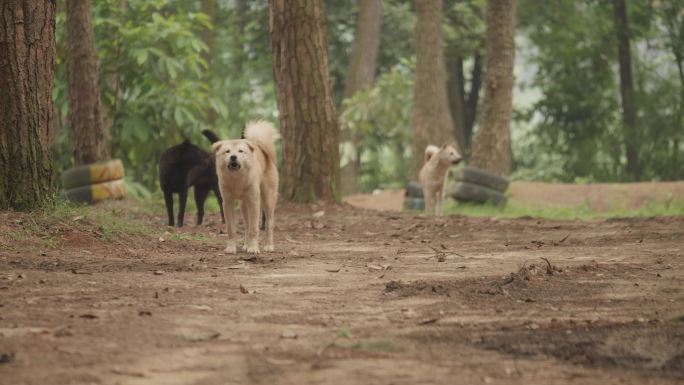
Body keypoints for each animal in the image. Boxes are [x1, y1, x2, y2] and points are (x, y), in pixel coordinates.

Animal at [212, 120, 280, 252]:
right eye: (227, 151)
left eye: (240, 151)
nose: (233, 157)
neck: (237, 180)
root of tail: (257, 144)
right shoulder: (228, 202)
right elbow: (231, 229)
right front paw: (231, 248)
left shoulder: (254, 201)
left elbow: (254, 228)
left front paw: (253, 248)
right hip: (244, 206)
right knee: (247, 226)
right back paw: (246, 245)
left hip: (267, 200)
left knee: (269, 225)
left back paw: (269, 246)